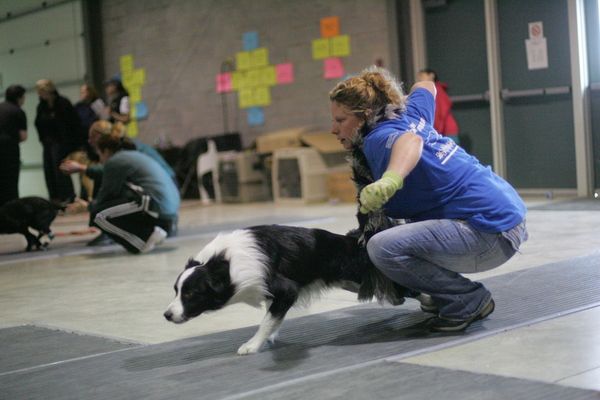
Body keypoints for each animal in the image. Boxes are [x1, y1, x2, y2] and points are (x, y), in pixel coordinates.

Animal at [163, 225, 412, 356]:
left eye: (190, 294)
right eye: (176, 290)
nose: (166, 315)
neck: (224, 265)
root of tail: (354, 241)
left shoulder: (286, 289)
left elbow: (267, 319)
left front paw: (252, 345)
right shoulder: (271, 293)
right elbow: (272, 314)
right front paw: (270, 335)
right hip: (350, 282)